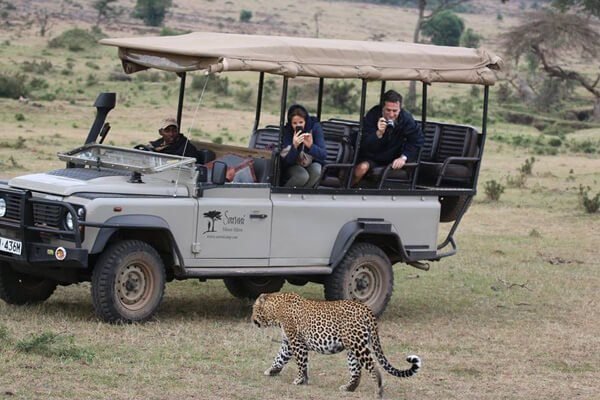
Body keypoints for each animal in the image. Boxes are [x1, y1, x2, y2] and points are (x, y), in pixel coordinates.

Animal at [251, 292, 420, 398]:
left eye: (254, 309)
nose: (252, 320)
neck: (276, 310)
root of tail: (366, 309)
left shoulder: (297, 342)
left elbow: (300, 362)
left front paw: (299, 380)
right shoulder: (288, 343)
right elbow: (280, 358)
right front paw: (272, 371)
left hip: (358, 345)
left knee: (373, 367)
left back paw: (378, 391)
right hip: (352, 348)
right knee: (356, 371)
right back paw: (348, 388)